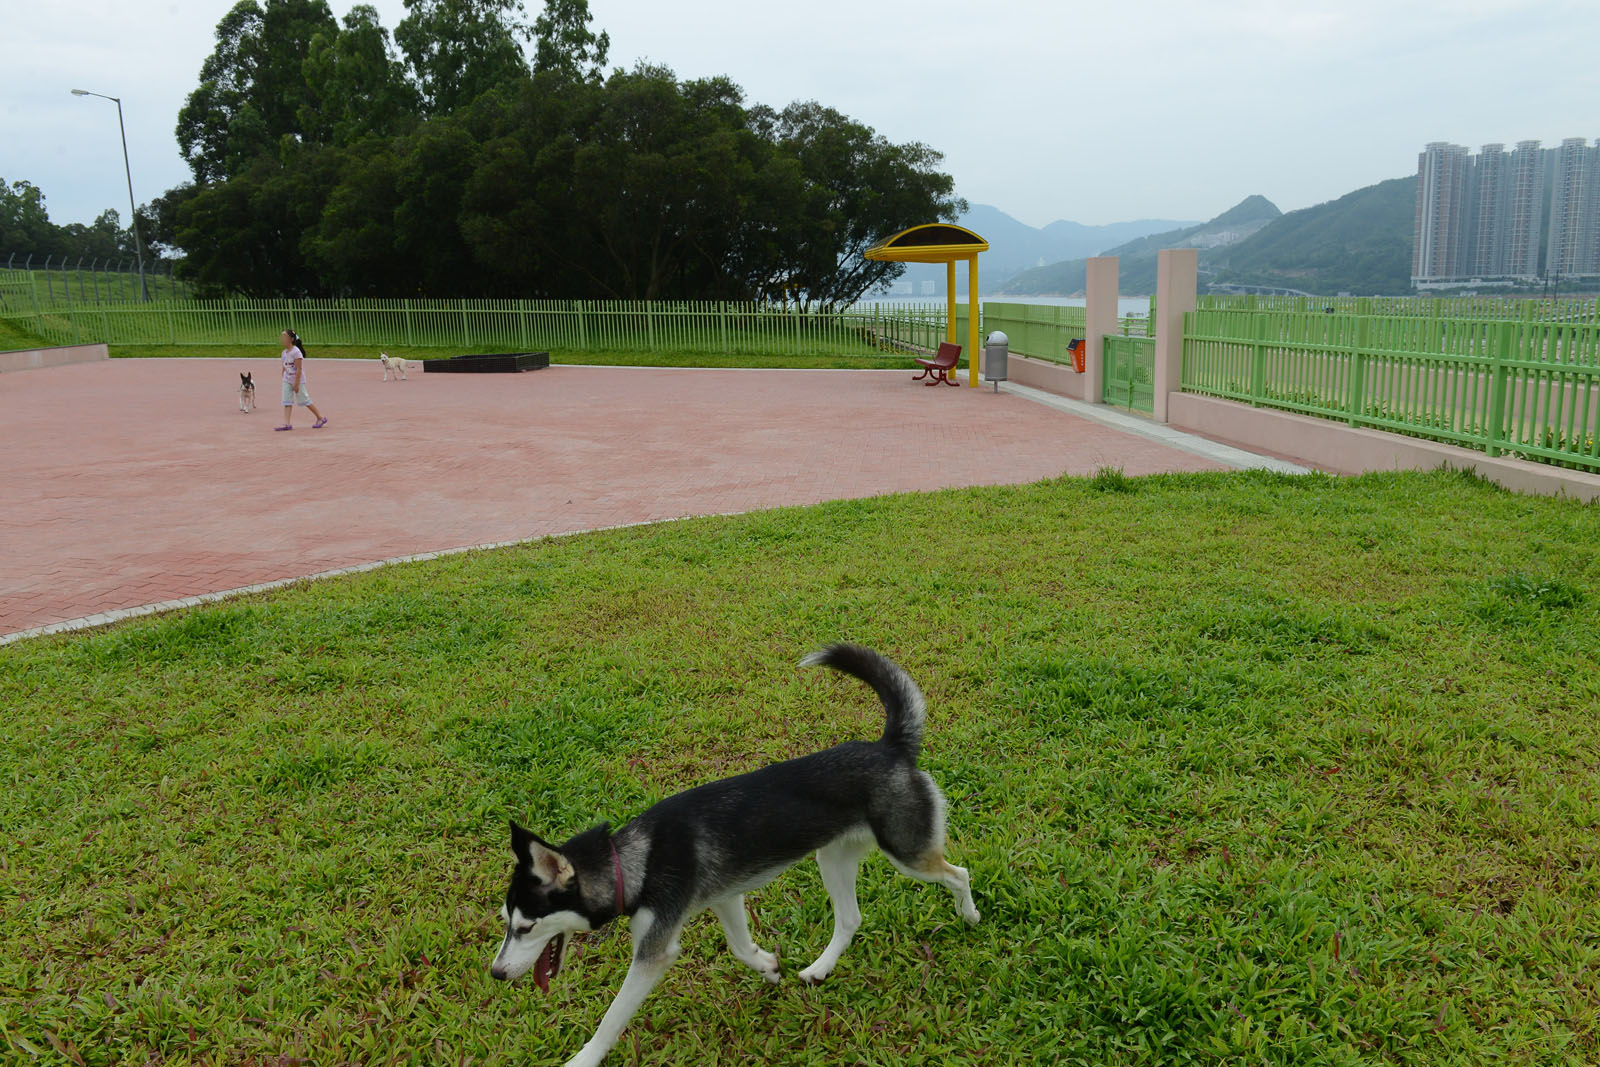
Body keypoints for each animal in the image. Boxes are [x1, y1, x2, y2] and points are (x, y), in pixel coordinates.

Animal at [486, 643, 979, 1067]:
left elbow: (612, 1018)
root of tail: (889, 748)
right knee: (851, 918)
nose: (495, 974)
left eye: (526, 928)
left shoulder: (654, 952)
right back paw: (820, 969)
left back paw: (970, 915)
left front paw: (584, 1058)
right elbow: (741, 949)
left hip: (907, 853)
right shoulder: (726, 898)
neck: (633, 861)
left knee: (959, 873)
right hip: (832, 859)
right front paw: (768, 967)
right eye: (506, 922)